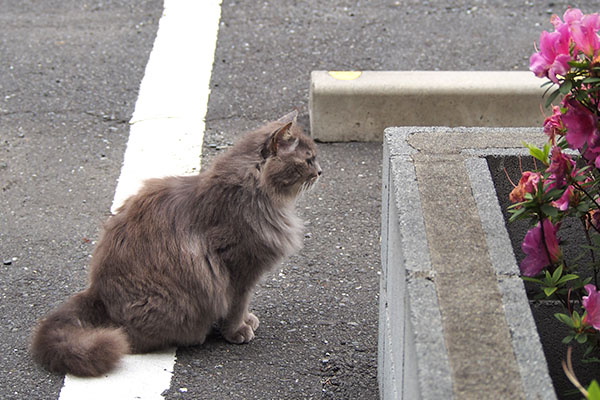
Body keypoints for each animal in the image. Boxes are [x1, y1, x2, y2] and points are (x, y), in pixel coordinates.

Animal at [30, 111, 322, 376]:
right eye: (309, 159)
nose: (320, 171)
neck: (260, 196)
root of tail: (96, 290)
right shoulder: (239, 268)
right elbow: (236, 305)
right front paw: (238, 331)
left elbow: (242, 305)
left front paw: (247, 320)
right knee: (128, 338)